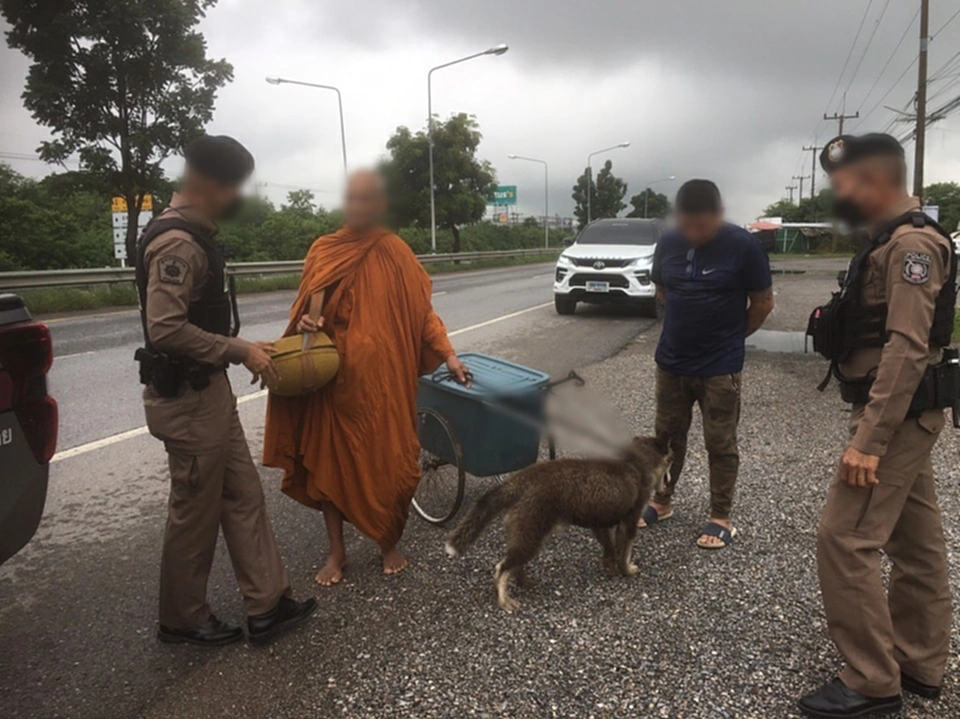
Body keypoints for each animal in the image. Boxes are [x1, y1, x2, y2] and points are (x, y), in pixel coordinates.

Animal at [446, 434, 672, 612]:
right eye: (670, 459)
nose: (669, 484)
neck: (635, 462)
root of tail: (519, 480)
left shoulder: (599, 522)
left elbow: (609, 548)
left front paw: (609, 565)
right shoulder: (629, 522)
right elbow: (624, 552)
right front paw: (626, 570)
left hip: (528, 534)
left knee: (514, 565)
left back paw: (524, 582)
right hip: (531, 534)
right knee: (501, 568)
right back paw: (504, 599)